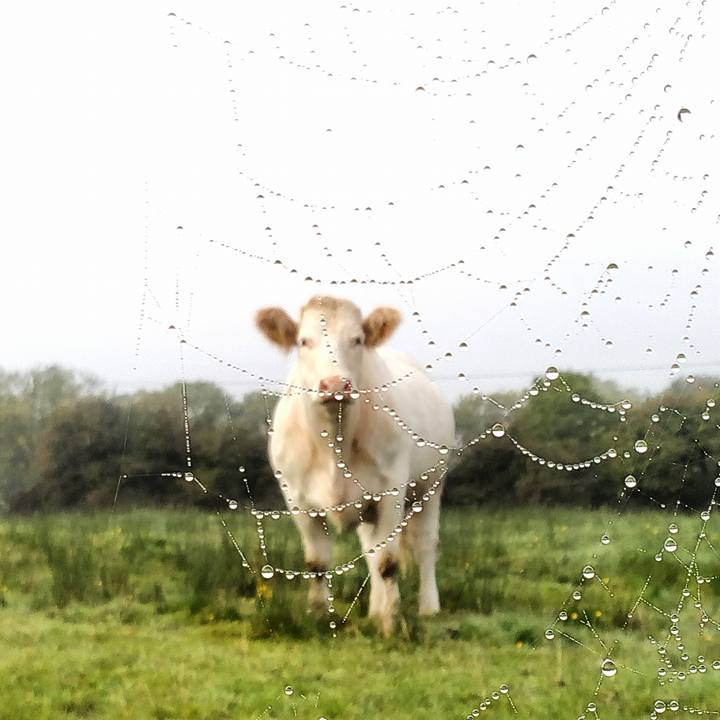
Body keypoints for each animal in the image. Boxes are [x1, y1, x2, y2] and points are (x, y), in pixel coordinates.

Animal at [255, 296, 455, 634]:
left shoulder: (391, 492)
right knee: (370, 552)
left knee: (425, 546)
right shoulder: (297, 500)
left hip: (431, 487)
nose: (335, 384)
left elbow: (388, 562)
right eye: (303, 341)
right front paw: (319, 616)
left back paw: (429, 608)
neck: (334, 442)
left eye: (357, 339)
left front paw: (390, 624)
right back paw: (374, 610)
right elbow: (318, 562)